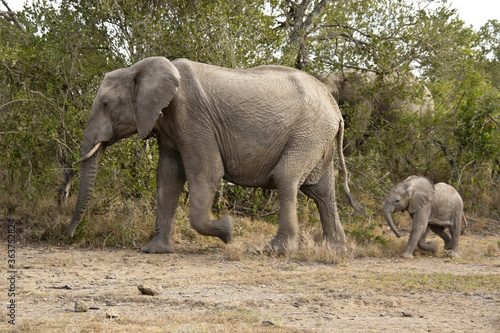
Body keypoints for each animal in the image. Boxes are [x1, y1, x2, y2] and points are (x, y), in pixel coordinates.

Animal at [65, 57, 364, 254]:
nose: (67, 235)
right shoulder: (170, 126)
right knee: (322, 191)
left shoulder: (194, 118)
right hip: (317, 137)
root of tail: (336, 109)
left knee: (287, 177)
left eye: (105, 105)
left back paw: (275, 251)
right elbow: (167, 178)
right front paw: (154, 250)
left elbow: (206, 174)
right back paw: (335, 250)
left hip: (309, 132)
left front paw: (228, 232)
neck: (140, 67)